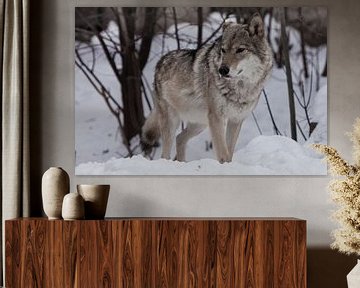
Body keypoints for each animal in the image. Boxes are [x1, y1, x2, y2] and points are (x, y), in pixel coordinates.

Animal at [142, 12, 272, 164]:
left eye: (240, 50)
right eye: (223, 50)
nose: (222, 70)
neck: (240, 88)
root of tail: (159, 63)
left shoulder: (235, 120)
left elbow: (230, 152)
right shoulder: (217, 118)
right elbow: (223, 154)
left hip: (200, 123)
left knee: (180, 138)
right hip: (174, 122)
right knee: (165, 153)